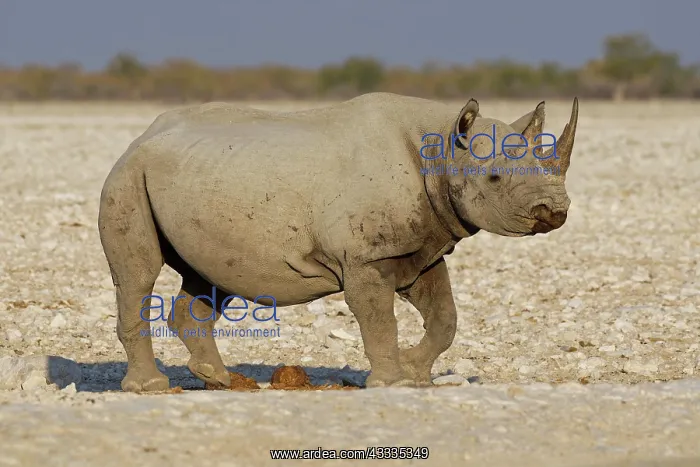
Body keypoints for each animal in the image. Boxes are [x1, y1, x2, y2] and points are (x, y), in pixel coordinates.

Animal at [98, 92, 578, 392]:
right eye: (495, 178)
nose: (553, 212)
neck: (441, 145)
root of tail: (141, 136)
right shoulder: (367, 256)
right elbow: (380, 319)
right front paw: (393, 381)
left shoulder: (421, 247)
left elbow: (445, 316)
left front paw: (416, 373)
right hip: (128, 175)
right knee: (138, 276)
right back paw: (151, 387)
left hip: (199, 178)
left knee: (208, 276)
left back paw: (218, 379)